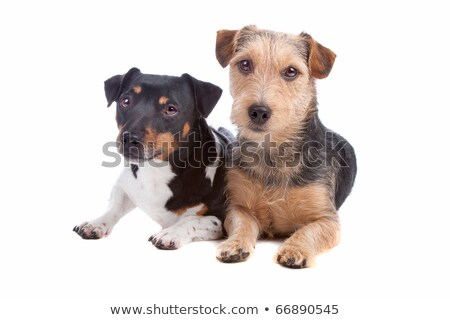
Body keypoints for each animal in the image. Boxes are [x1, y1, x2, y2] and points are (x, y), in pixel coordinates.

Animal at [73, 67, 232, 249]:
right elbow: (113, 206)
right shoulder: (124, 185)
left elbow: (191, 220)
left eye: (171, 109)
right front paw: (96, 223)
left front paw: (170, 233)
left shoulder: (222, 218)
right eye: (125, 101)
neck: (157, 170)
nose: (129, 138)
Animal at [216, 26, 356, 268]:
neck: (274, 152)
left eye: (291, 71)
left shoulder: (327, 219)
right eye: (245, 64)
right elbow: (243, 224)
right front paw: (235, 244)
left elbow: (308, 231)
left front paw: (294, 249)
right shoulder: (237, 206)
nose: (259, 111)